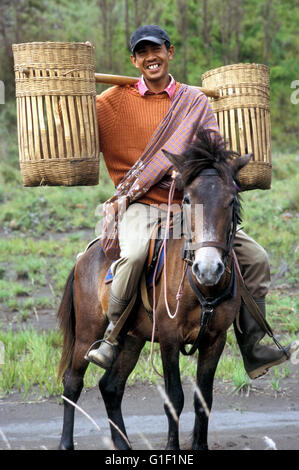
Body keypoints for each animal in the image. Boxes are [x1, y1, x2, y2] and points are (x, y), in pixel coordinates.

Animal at [56, 129, 251, 452]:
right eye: (187, 199)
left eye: (231, 199)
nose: (208, 268)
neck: (201, 289)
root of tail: (86, 254)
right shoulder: (169, 340)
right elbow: (175, 399)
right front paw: (172, 448)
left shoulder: (215, 340)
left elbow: (203, 399)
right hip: (87, 332)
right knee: (72, 383)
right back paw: (66, 443)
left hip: (131, 338)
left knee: (110, 387)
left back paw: (123, 445)